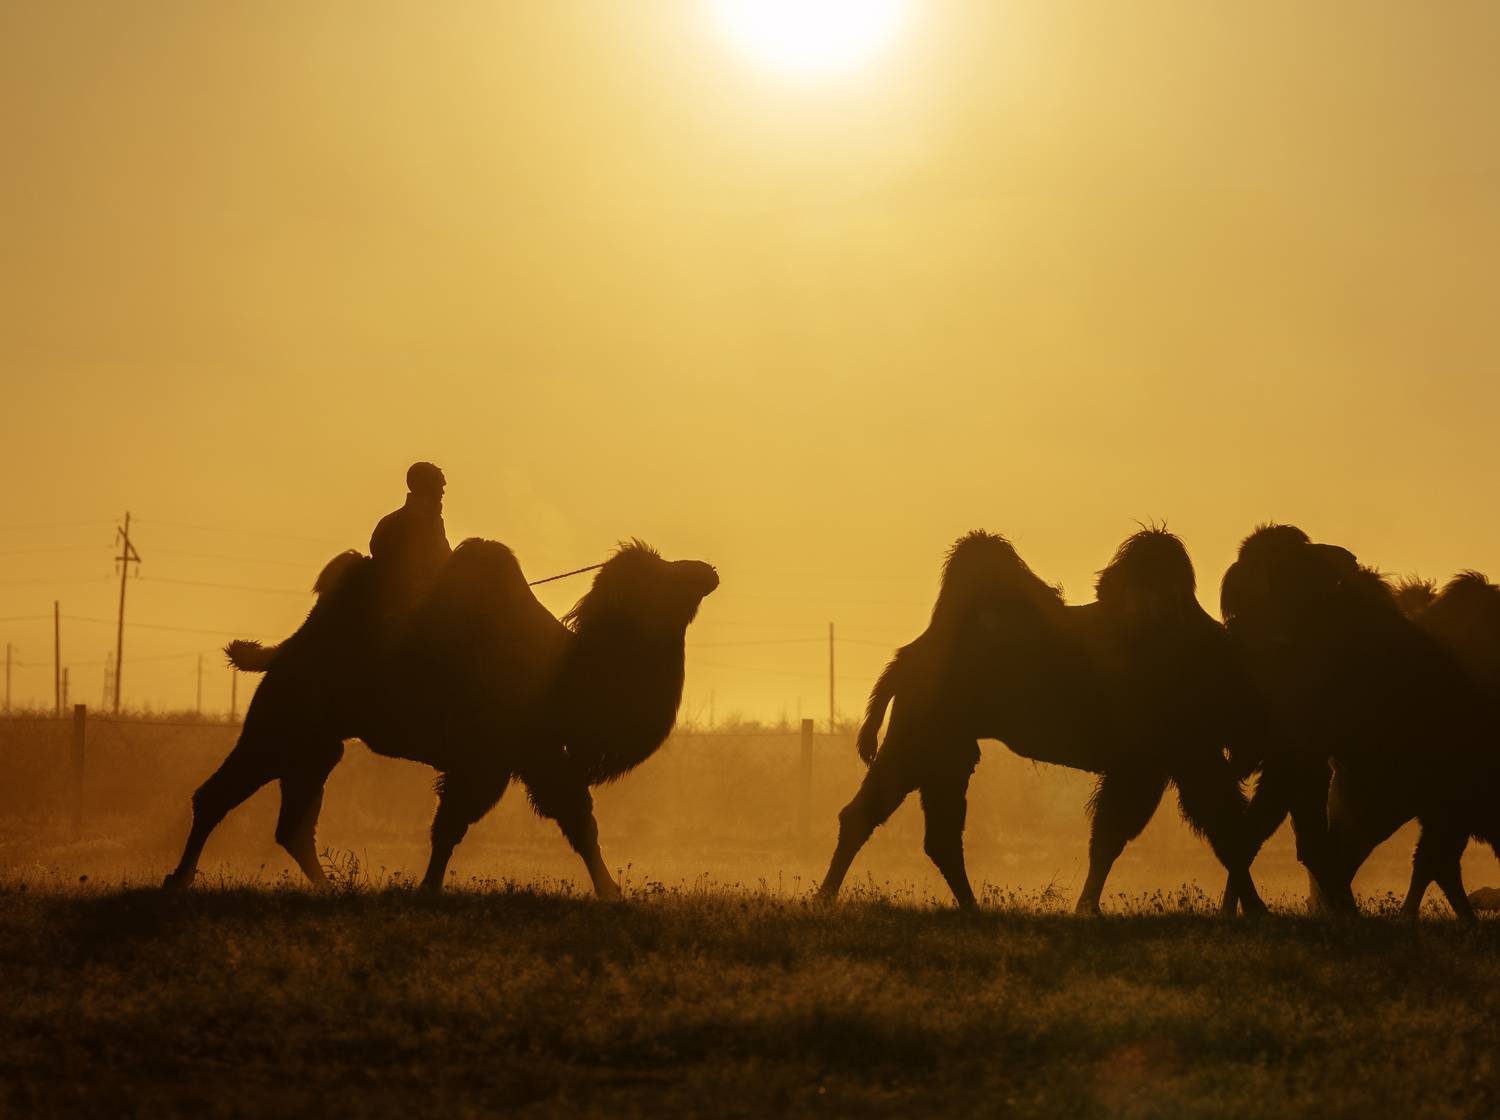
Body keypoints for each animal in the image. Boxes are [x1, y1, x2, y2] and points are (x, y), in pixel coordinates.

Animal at [163, 539, 718, 895]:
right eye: (664, 575)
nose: (708, 570)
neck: (566, 673)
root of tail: (278, 654)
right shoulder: (500, 756)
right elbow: (470, 823)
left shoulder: (523, 756)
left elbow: (566, 820)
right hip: (279, 725)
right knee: (217, 797)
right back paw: (178, 878)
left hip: (316, 746)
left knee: (291, 825)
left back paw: (330, 888)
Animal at [817, 528, 1266, 916]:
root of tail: (906, 659)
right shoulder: (1171, 758)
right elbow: (1211, 830)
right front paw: (1258, 909)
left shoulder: (1159, 763)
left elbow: (1121, 835)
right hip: (921, 740)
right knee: (870, 817)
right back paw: (827, 897)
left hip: (944, 751)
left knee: (926, 833)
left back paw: (967, 905)